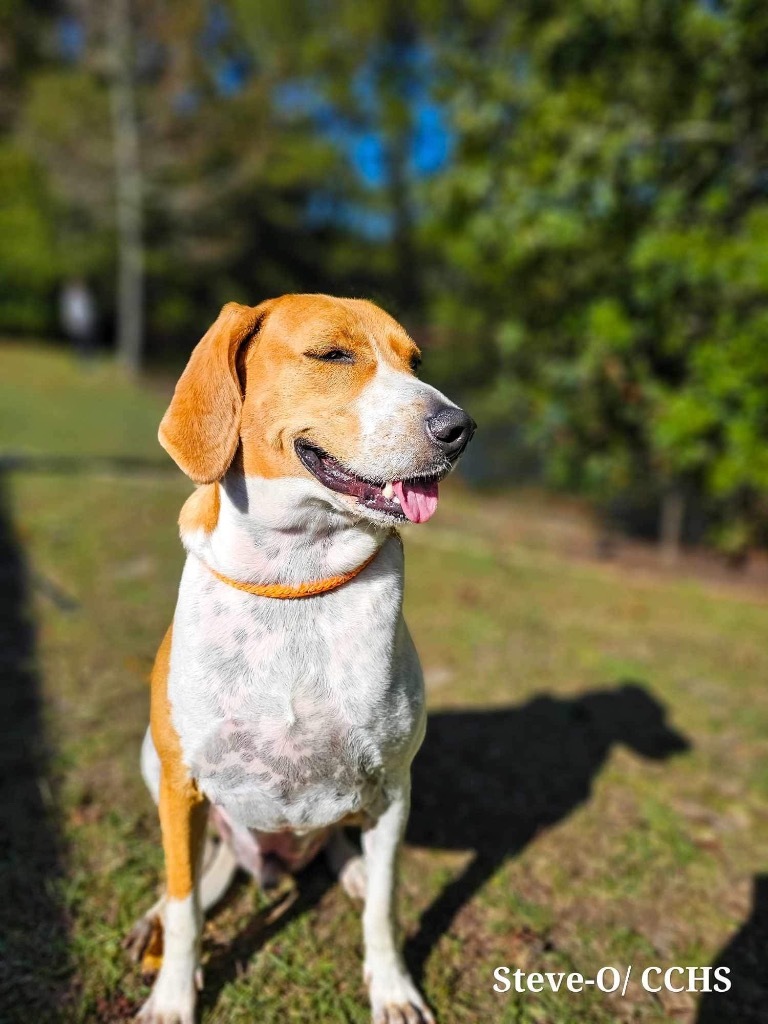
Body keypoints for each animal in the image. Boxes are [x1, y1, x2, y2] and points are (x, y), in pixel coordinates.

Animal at [126, 296, 475, 1024]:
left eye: (415, 362)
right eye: (334, 355)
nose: (460, 427)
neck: (297, 574)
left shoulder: (395, 786)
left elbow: (385, 904)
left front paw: (392, 986)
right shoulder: (180, 783)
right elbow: (186, 904)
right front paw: (171, 994)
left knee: (345, 845)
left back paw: (349, 867)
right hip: (153, 759)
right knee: (198, 875)